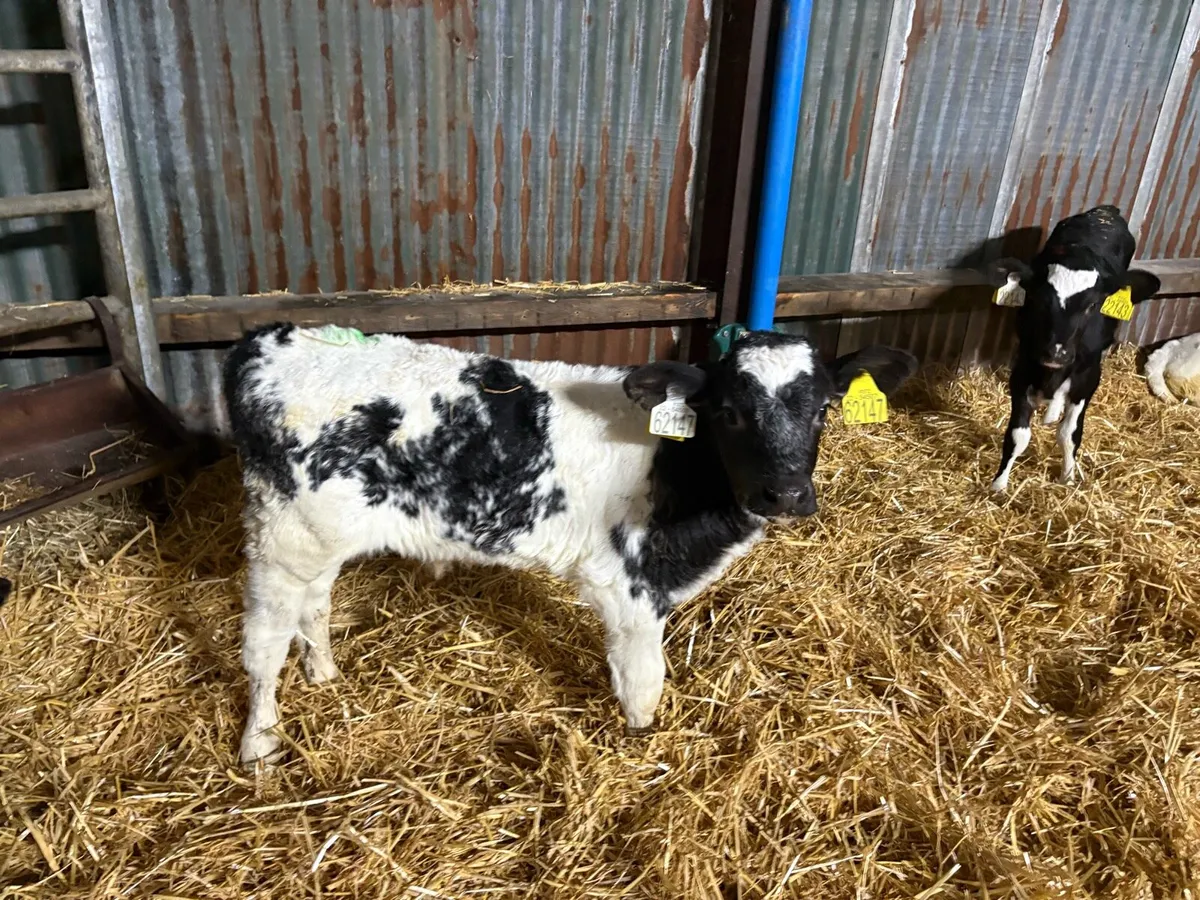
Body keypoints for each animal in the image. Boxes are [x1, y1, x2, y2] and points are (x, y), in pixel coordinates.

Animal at [223, 324, 917, 764]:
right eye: (728, 411)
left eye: (824, 408)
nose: (786, 493)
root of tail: (272, 336)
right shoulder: (629, 584)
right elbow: (643, 683)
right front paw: (640, 747)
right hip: (280, 535)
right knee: (263, 643)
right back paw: (259, 742)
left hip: (320, 537)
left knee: (313, 606)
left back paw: (324, 674)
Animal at [983, 206, 1161, 493]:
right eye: (1039, 299)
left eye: (1092, 305)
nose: (1056, 353)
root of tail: (1105, 211)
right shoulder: (1023, 369)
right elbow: (1018, 434)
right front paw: (999, 485)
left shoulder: (1088, 377)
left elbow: (1068, 433)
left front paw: (1068, 477)